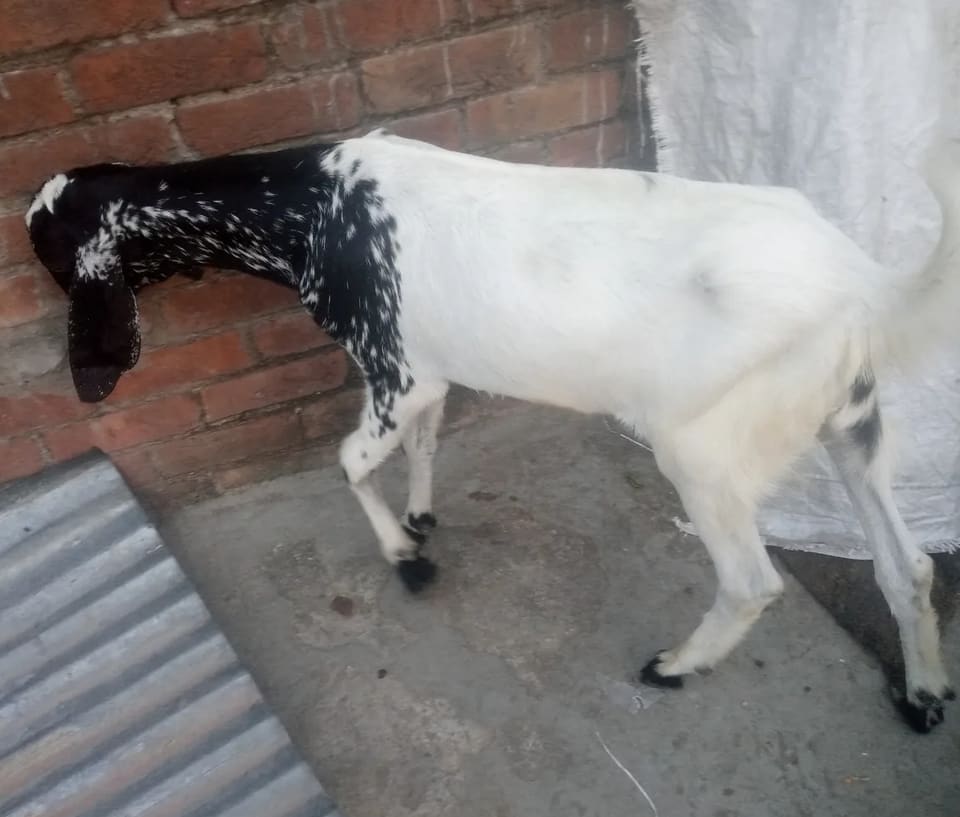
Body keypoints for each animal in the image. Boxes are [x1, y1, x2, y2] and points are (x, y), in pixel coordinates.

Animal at [26, 129, 960, 733]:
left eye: (52, 253)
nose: (81, 380)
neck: (315, 207)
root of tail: (862, 283)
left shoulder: (399, 369)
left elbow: (348, 462)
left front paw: (406, 559)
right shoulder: (432, 373)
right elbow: (425, 442)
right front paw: (420, 518)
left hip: (704, 451)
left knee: (752, 581)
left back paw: (675, 666)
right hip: (853, 427)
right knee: (905, 564)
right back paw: (921, 692)